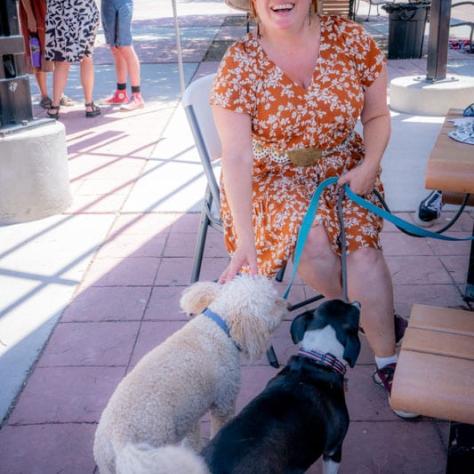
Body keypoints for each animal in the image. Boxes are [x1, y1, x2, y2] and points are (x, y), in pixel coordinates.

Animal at [92, 274, 286, 474]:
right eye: (273, 303)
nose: (286, 304)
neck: (218, 328)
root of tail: (119, 441)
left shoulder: (189, 413)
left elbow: (191, 438)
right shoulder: (224, 401)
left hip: (107, 465)